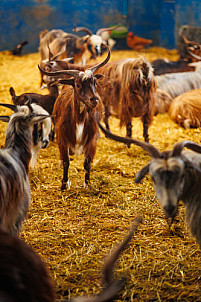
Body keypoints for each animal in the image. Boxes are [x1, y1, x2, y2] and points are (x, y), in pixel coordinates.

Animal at [38, 47, 110, 189]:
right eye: (77, 85)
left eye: (94, 82)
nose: (94, 100)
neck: (80, 121)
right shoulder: (62, 138)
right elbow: (66, 161)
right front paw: (64, 184)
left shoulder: (91, 140)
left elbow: (87, 163)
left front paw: (87, 184)